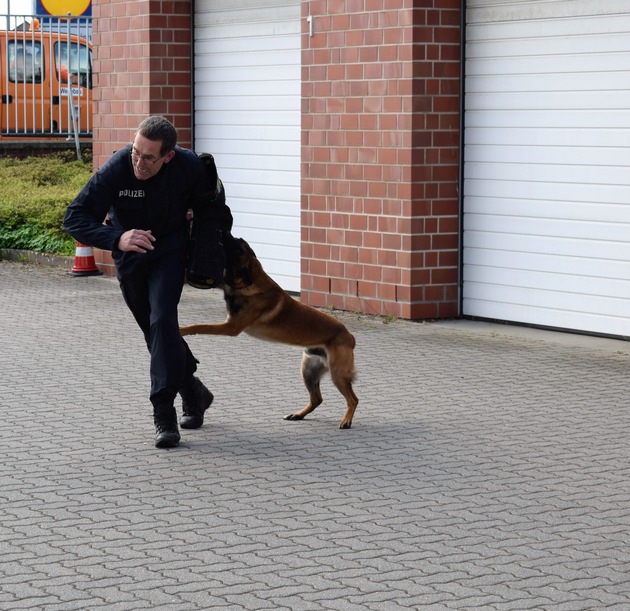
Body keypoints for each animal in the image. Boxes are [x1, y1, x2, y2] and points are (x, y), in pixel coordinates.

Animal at [181, 237, 360, 428]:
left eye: (238, 248)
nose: (225, 234)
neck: (251, 282)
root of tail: (348, 335)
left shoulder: (231, 327)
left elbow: (200, 325)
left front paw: (182, 329)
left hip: (337, 374)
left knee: (353, 399)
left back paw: (346, 420)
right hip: (308, 371)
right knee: (317, 399)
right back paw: (298, 415)